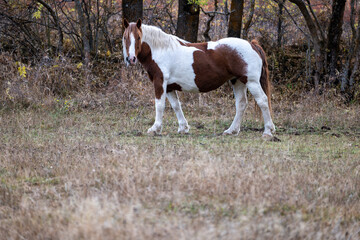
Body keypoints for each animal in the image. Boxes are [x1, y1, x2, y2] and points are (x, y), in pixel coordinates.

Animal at [123, 19, 276, 138]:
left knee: (262, 101)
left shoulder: (160, 82)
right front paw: (183, 128)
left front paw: (155, 129)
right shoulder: (170, 87)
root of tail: (252, 44)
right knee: (241, 104)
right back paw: (231, 130)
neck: (161, 50)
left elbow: (160, 105)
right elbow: (176, 106)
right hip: (237, 81)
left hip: (251, 82)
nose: (131, 59)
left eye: (138, 37)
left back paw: (268, 131)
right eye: (125, 38)